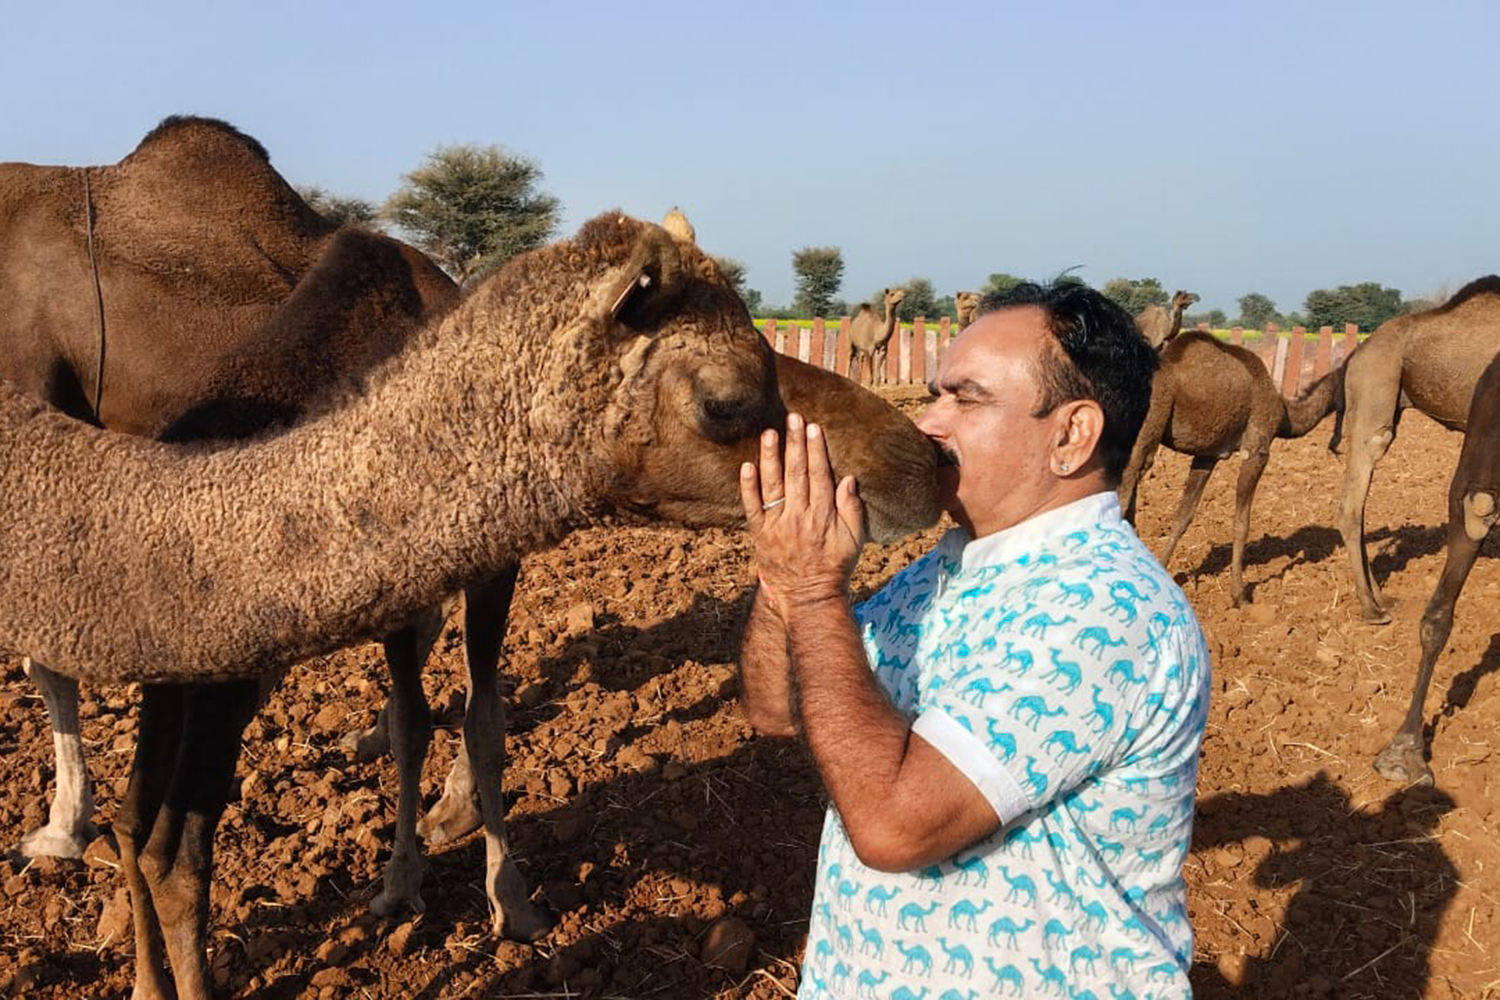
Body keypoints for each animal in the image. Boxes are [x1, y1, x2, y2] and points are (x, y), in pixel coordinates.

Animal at [0, 208, 940, 1000]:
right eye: (727, 400)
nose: (925, 460)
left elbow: (449, 721)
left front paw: (469, 879)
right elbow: (451, 721)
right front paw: (474, 893)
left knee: (146, 824)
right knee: (169, 831)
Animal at [1118, 331, 1343, 605]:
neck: (1284, 415)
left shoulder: (1206, 455)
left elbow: (1183, 515)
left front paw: (1162, 572)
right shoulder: (1257, 448)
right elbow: (1242, 522)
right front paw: (1240, 595)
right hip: (1148, 429)